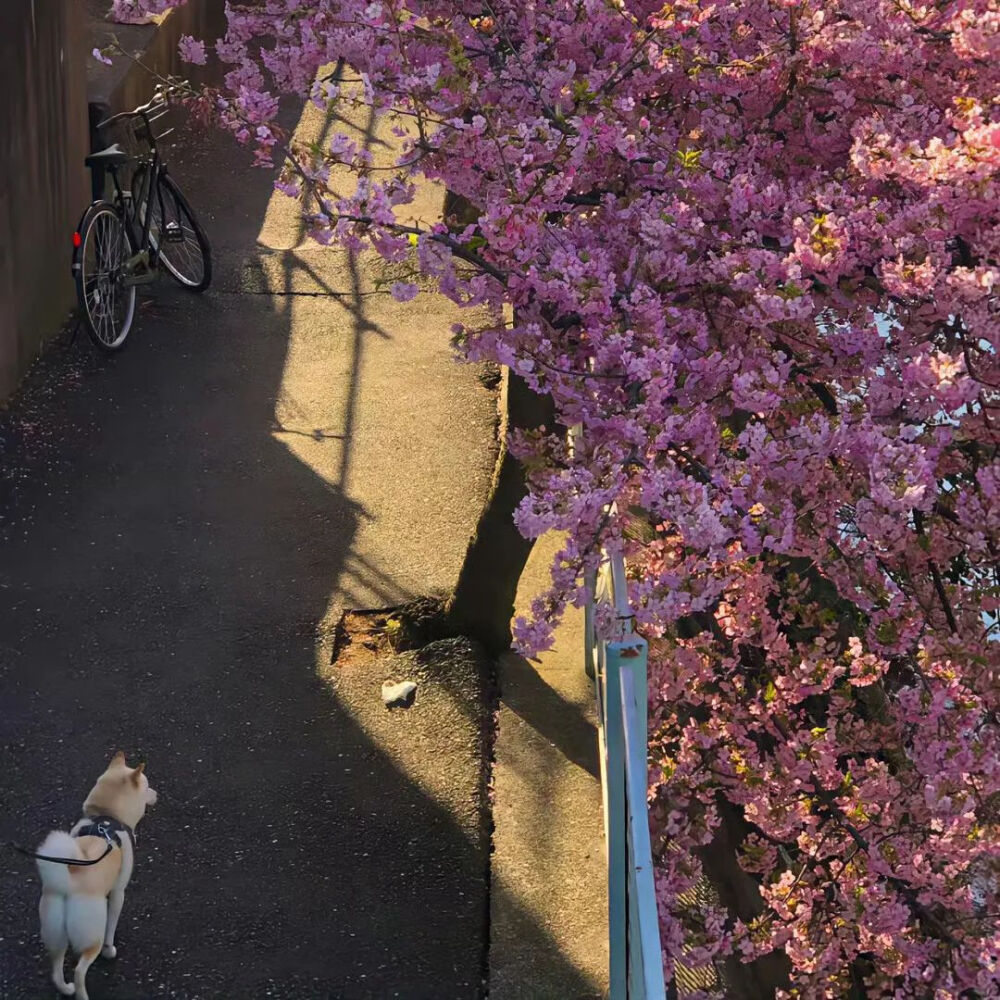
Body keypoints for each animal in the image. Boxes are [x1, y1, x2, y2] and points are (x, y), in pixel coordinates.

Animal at [32, 752, 156, 1000]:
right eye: (147, 786)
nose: (156, 793)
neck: (105, 817)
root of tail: (69, 882)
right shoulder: (118, 893)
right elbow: (112, 925)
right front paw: (111, 951)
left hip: (55, 933)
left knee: (56, 966)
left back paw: (65, 988)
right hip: (92, 936)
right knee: (81, 970)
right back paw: (82, 993)